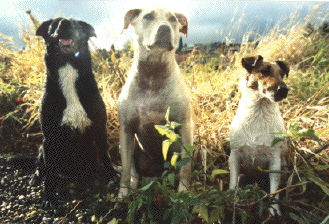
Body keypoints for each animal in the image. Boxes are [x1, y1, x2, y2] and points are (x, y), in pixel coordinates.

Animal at [34, 18, 116, 210]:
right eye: (54, 24)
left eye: (77, 23)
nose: (64, 23)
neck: (68, 67)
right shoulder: (50, 138)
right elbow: (50, 174)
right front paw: (49, 197)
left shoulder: (100, 129)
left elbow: (106, 155)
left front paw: (113, 176)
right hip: (42, 147)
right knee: (42, 166)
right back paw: (36, 176)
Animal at [117, 7, 192, 199]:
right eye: (148, 16)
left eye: (173, 19)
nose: (165, 28)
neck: (153, 73)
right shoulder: (126, 130)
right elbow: (126, 170)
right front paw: (122, 195)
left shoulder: (185, 126)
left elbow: (186, 168)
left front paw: (184, 192)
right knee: (133, 171)